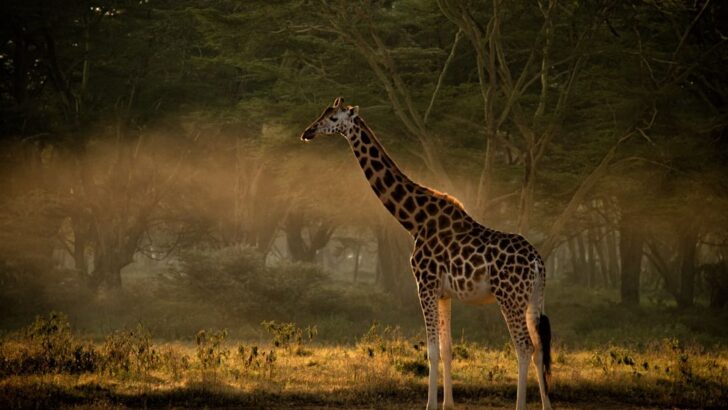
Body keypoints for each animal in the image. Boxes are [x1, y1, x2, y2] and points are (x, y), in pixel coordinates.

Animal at [300, 97, 552, 410]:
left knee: (524, 347)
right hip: (533, 298)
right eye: (322, 114)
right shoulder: (444, 293)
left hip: (510, 298)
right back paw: (547, 405)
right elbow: (447, 350)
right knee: (540, 347)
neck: (415, 221)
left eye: (333, 118)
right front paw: (447, 404)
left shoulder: (425, 285)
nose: (308, 132)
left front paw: (431, 404)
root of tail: (537, 263)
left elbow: (431, 350)